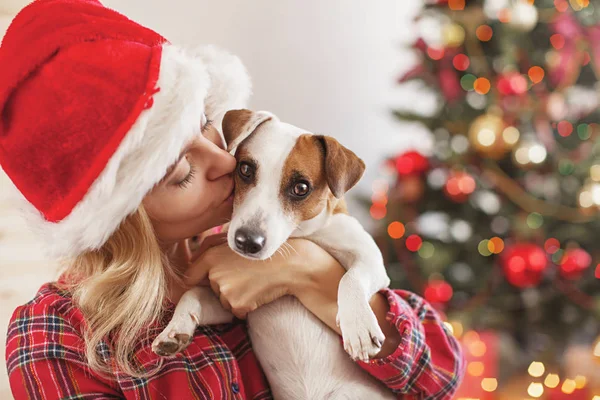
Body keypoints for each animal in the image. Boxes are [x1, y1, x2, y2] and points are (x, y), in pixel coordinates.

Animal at [152, 110, 394, 400]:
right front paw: (175, 329)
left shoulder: (369, 256)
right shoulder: (231, 308)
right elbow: (192, 295)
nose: (247, 241)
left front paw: (359, 326)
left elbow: (351, 279)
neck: (297, 236)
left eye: (301, 188)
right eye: (245, 169)